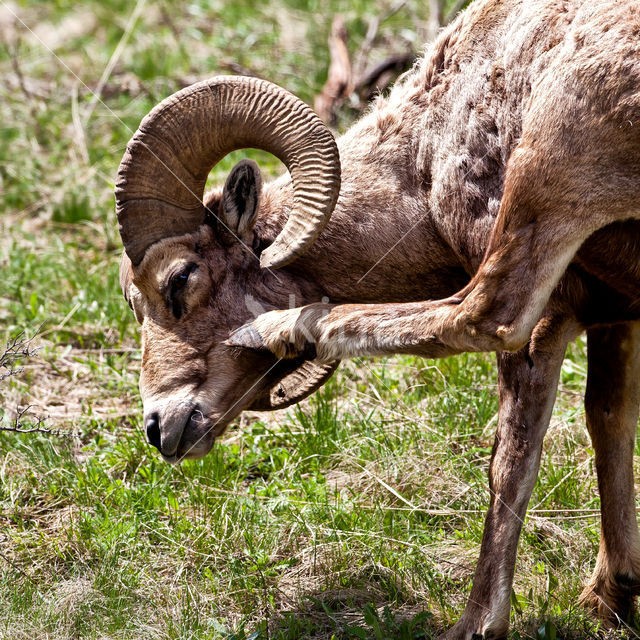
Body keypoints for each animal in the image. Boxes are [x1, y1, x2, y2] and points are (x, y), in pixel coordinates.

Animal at [117, 0, 640, 636]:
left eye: (179, 279)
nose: (158, 428)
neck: (422, 160)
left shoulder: (551, 317)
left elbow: (510, 460)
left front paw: (482, 623)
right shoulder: (617, 318)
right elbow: (609, 419)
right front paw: (611, 597)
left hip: (552, 159)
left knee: (482, 313)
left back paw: (281, 327)